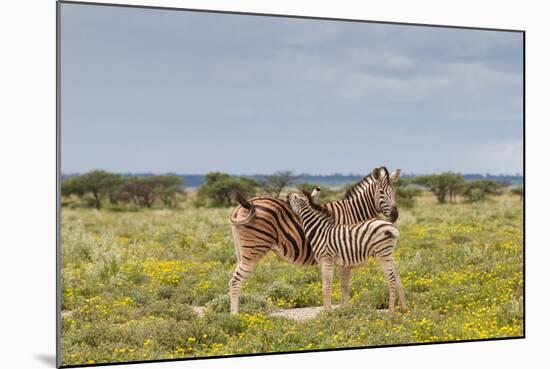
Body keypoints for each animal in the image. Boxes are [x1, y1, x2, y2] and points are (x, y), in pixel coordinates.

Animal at [227, 165, 402, 312]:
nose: (395, 215)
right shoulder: (346, 252)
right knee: (235, 281)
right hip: (253, 250)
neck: (353, 213)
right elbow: (344, 285)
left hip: (242, 252)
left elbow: (345, 285)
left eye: (394, 193)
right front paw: (344, 311)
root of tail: (243, 205)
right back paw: (236, 316)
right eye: (381, 193)